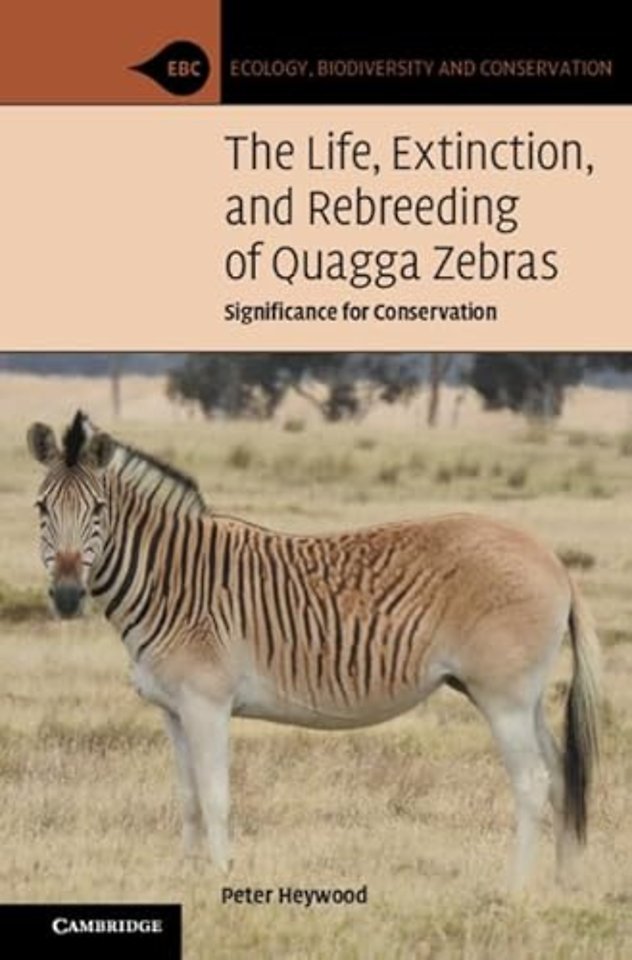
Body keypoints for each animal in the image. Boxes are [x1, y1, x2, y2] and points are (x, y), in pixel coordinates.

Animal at [27, 411, 600, 888]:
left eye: (99, 510)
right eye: (41, 508)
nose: (67, 596)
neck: (173, 584)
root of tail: (552, 558)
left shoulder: (206, 703)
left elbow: (215, 796)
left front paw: (221, 876)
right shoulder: (172, 710)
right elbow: (187, 799)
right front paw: (185, 877)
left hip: (503, 696)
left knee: (531, 781)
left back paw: (514, 889)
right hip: (522, 697)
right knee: (559, 774)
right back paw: (564, 884)